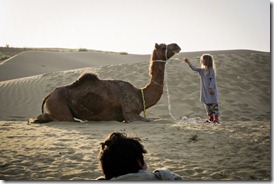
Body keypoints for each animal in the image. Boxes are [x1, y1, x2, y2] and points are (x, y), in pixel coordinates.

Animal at [33, 43, 181, 123]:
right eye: (163, 46)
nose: (176, 45)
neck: (140, 94)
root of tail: (48, 95)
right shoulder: (130, 114)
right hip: (59, 105)